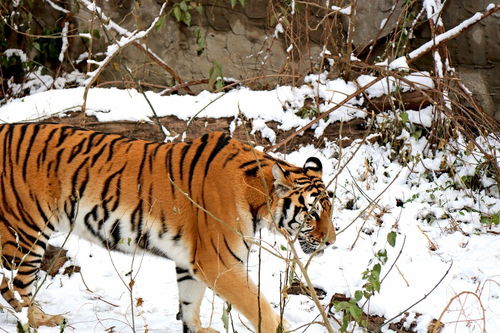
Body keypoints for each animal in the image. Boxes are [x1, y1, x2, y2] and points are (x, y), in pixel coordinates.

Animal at [0, 123, 336, 330]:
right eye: (312, 214)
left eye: (330, 210)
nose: (331, 242)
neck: (257, 199)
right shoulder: (219, 263)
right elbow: (258, 308)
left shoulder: (191, 261)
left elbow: (189, 303)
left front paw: (197, 329)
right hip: (24, 233)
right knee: (16, 286)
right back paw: (42, 321)